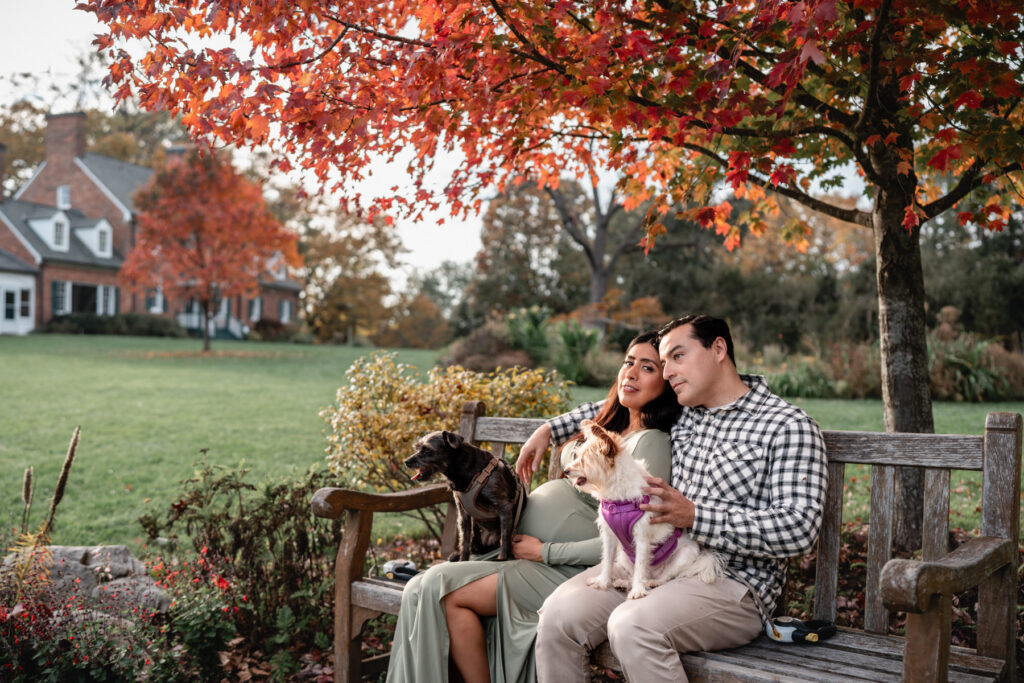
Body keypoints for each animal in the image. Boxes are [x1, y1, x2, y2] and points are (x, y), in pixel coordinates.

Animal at [403, 432, 528, 561]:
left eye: (427, 450)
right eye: (417, 448)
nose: (406, 461)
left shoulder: (504, 508)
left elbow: (505, 537)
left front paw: (502, 558)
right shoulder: (463, 514)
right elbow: (464, 540)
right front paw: (462, 559)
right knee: (473, 545)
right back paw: (456, 555)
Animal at [565, 419, 724, 602]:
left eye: (584, 461)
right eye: (577, 457)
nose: (565, 471)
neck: (618, 498)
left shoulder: (641, 538)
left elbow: (640, 566)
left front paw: (638, 591)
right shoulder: (610, 536)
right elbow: (607, 561)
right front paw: (603, 581)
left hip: (685, 554)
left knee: (663, 576)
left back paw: (652, 582)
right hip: (624, 555)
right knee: (638, 573)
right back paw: (625, 583)